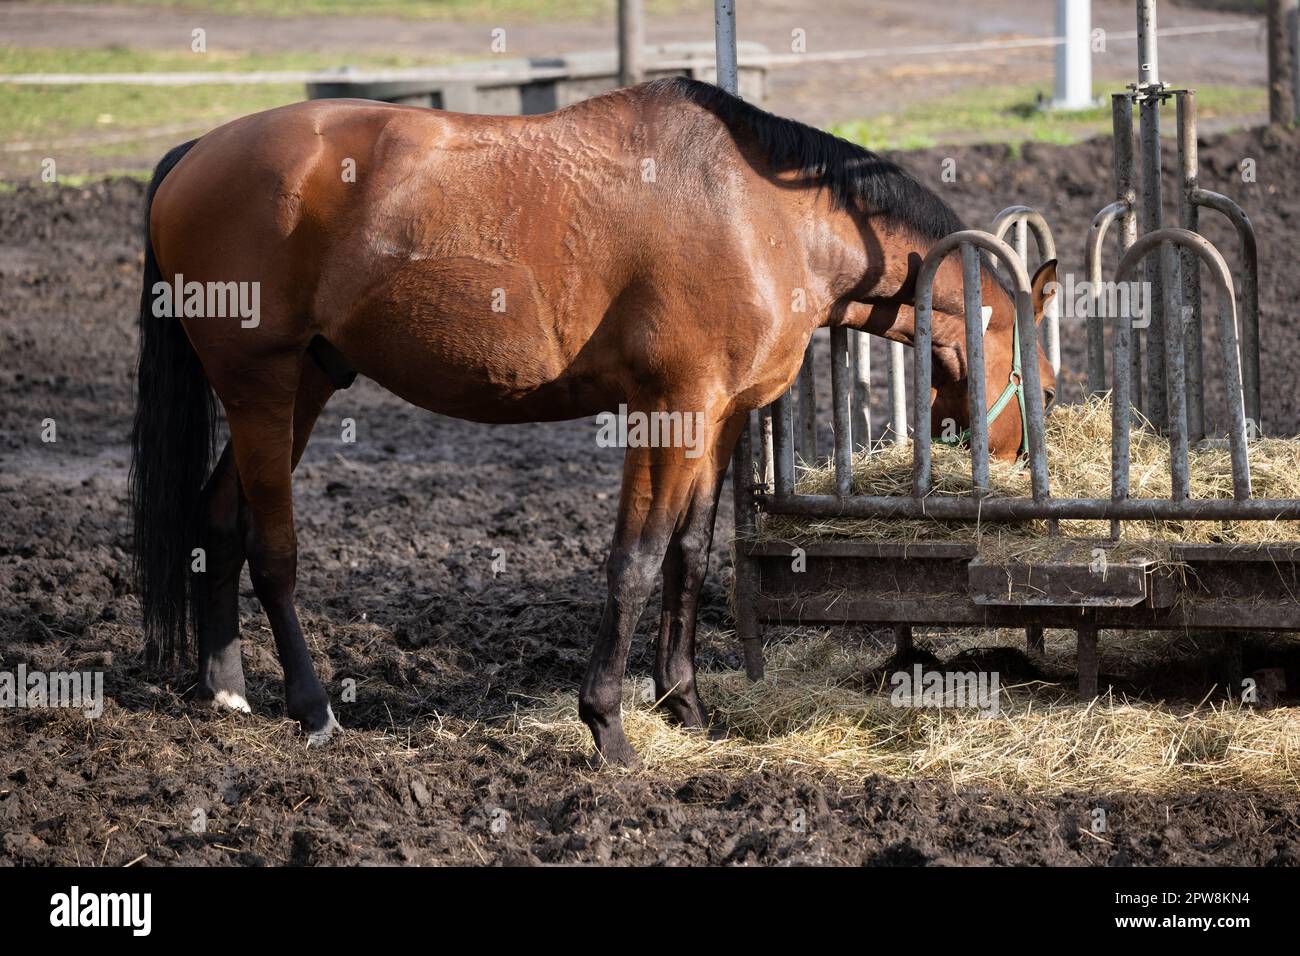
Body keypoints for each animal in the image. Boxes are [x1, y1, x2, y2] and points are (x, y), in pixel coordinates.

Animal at [130, 76, 1057, 767]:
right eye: (1047, 390)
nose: (1017, 471)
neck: (760, 214)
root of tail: (191, 155)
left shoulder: (720, 419)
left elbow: (688, 554)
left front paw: (685, 706)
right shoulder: (671, 411)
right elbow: (635, 560)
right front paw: (607, 725)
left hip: (305, 386)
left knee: (218, 519)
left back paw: (227, 689)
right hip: (260, 383)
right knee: (271, 551)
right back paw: (314, 708)